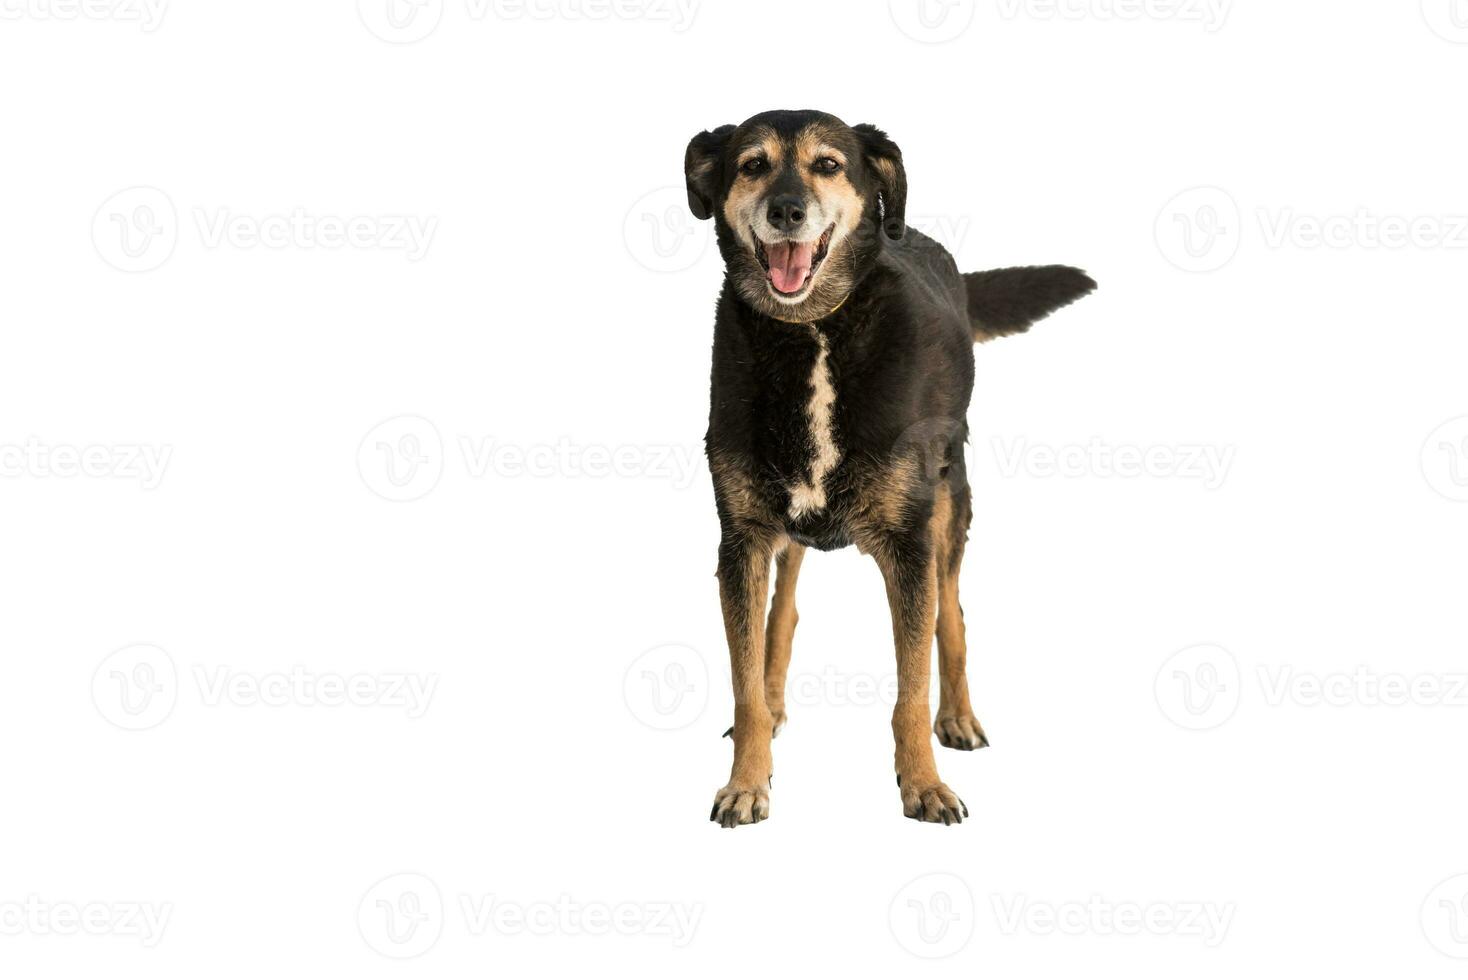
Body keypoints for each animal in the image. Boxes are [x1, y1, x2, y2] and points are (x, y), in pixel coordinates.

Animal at [684, 107, 1092, 827]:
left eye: (827, 164)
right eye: (753, 165)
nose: (786, 210)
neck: (812, 332)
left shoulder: (907, 542)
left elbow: (910, 687)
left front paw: (924, 784)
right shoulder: (742, 540)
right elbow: (745, 680)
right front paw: (746, 781)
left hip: (948, 508)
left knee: (952, 615)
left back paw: (958, 717)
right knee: (782, 615)